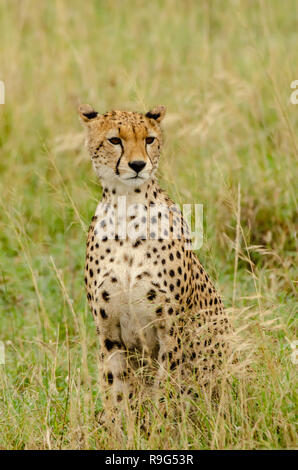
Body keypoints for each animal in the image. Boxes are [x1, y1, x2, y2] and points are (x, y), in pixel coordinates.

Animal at [78, 103, 232, 418]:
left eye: (149, 139)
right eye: (115, 140)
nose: (138, 165)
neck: (126, 209)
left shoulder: (170, 329)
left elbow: (166, 387)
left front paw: (162, 425)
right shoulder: (108, 332)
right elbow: (117, 391)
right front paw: (119, 426)